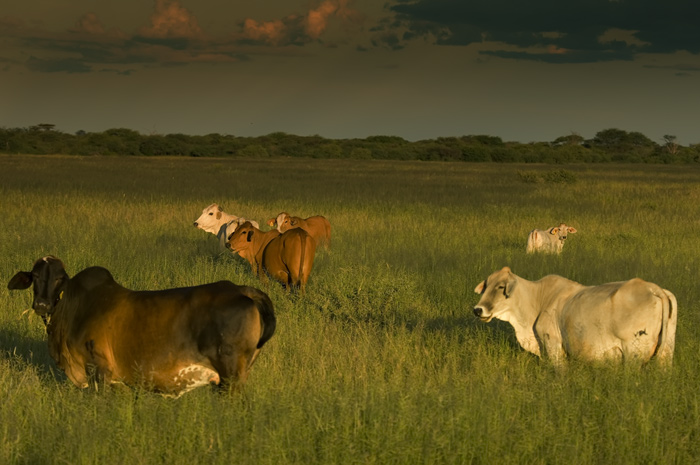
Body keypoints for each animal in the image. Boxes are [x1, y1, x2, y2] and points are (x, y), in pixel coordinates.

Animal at [8, 254, 276, 396]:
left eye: (59, 279)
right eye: (35, 276)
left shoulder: (100, 371)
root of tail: (239, 289)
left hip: (231, 377)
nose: (41, 304)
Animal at [474, 268, 676, 366]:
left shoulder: (553, 345)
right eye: (486, 285)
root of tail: (652, 287)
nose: (478, 310)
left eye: (501, 287)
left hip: (633, 353)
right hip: (666, 352)